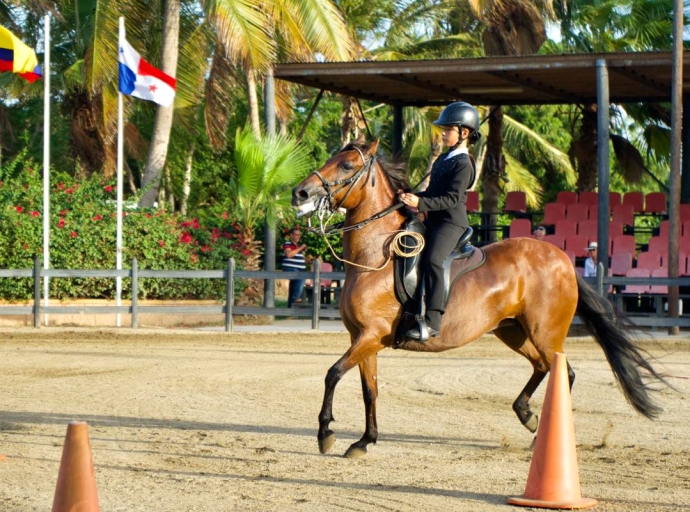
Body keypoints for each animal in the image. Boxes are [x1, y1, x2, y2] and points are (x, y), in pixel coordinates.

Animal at [288, 138, 660, 458]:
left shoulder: (371, 335)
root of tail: (564, 260)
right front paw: (364, 441)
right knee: (542, 368)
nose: (300, 192)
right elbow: (370, 390)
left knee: (563, 374)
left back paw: (542, 438)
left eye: (347, 165)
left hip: (546, 333)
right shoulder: (364, 338)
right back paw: (527, 417)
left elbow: (332, 373)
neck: (377, 254)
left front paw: (326, 434)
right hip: (513, 331)